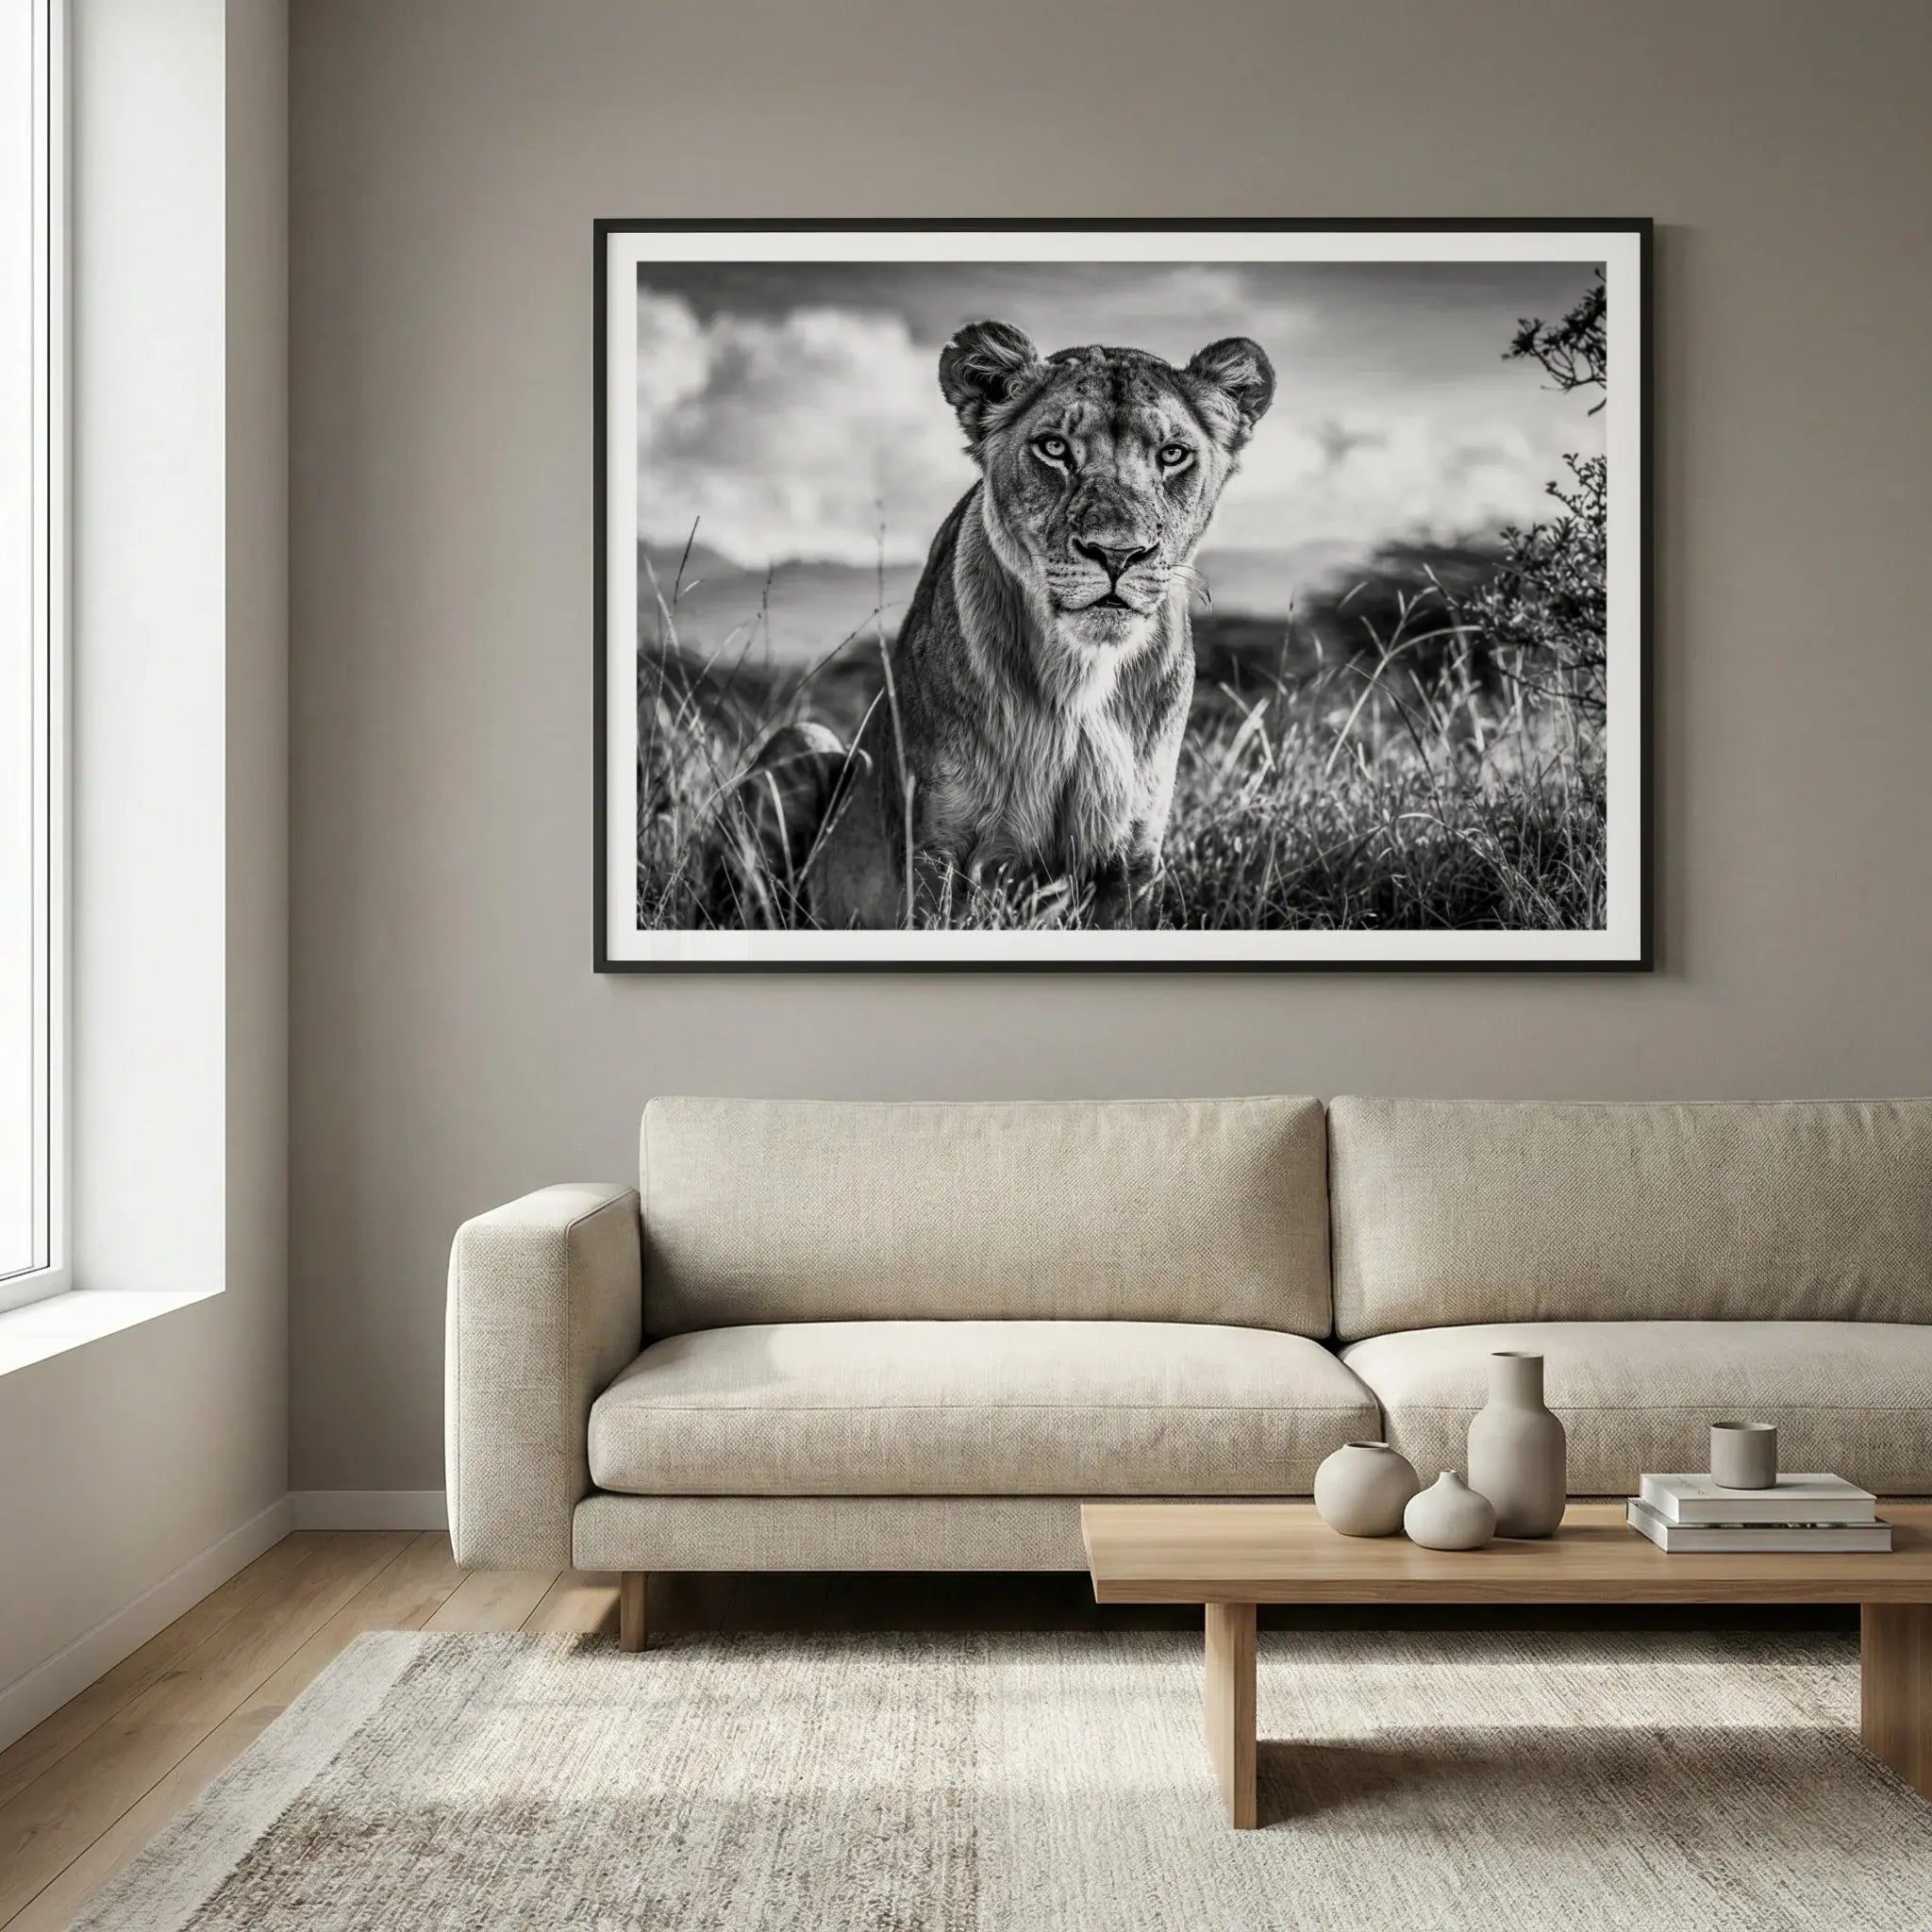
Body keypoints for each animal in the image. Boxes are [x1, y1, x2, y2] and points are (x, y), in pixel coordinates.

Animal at [731, 318, 1275, 929]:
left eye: (1173, 454)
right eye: (1054, 447)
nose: (1117, 554)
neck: (1079, 679)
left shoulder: (1133, 861)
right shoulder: (937, 854)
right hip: (803, 738)